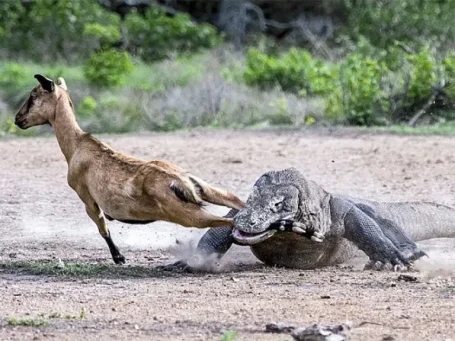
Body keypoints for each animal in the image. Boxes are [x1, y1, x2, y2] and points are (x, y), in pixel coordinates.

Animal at [14, 75, 246, 262]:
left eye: (33, 95)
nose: (18, 119)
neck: (77, 145)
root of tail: (181, 182)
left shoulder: (87, 198)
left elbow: (103, 228)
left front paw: (119, 257)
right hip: (205, 190)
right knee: (236, 202)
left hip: (188, 216)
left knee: (232, 221)